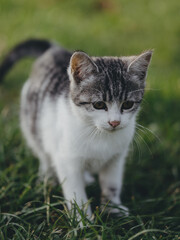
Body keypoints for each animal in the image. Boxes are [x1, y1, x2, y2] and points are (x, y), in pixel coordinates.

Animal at [0, 39, 152, 219]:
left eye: (127, 104)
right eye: (98, 104)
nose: (114, 122)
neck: (99, 134)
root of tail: (53, 50)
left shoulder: (116, 159)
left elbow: (112, 184)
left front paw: (113, 208)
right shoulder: (67, 160)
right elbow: (76, 193)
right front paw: (83, 220)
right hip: (32, 123)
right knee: (43, 154)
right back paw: (47, 178)